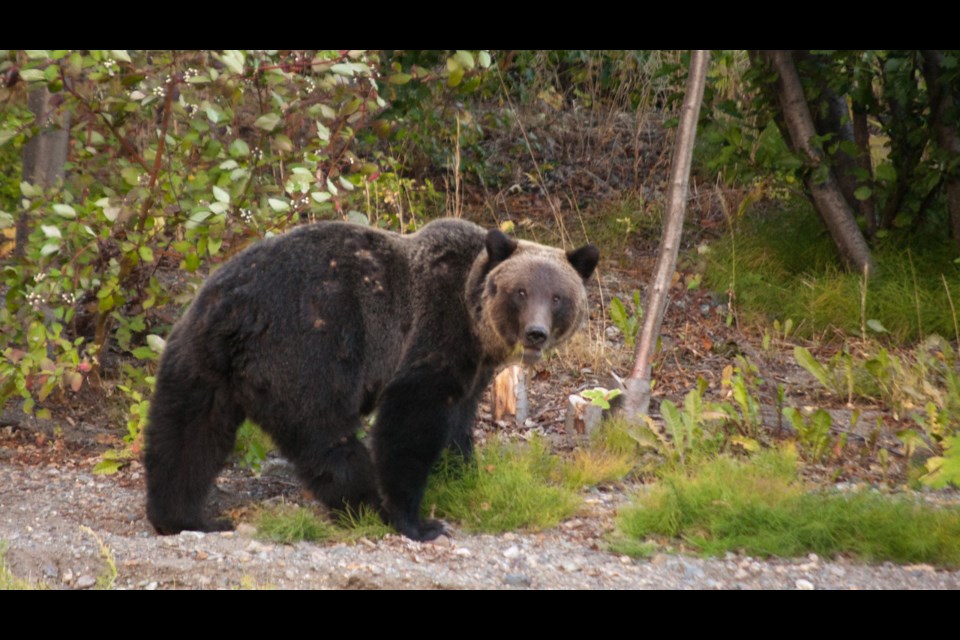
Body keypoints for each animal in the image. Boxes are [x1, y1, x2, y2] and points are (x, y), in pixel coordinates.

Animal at [145, 219, 596, 540]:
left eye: (557, 296)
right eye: (520, 292)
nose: (535, 333)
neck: (476, 325)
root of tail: (240, 312)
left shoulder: (473, 367)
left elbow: (459, 421)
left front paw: (463, 474)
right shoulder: (434, 330)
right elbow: (411, 416)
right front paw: (417, 520)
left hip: (198, 354)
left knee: (186, 434)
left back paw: (182, 517)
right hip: (309, 350)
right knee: (327, 439)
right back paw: (367, 507)